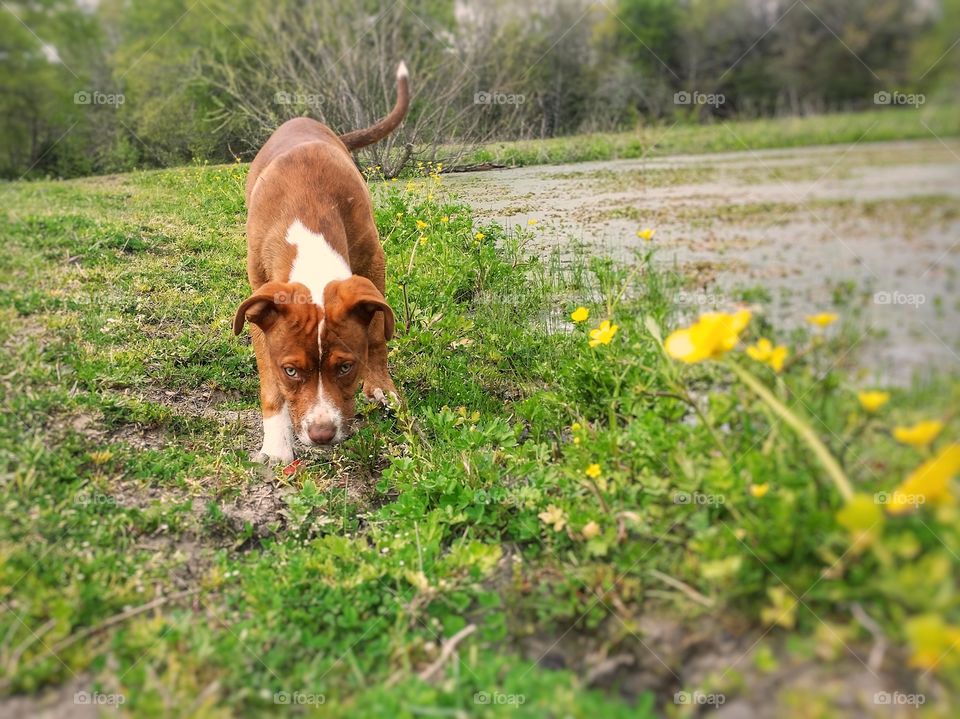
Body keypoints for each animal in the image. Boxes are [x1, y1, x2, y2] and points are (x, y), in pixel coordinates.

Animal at [237, 63, 412, 466]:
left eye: (346, 367)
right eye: (291, 370)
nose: (321, 434)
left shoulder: (373, 263)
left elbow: (377, 332)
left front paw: (381, 385)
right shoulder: (261, 301)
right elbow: (268, 378)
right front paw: (276, 443)